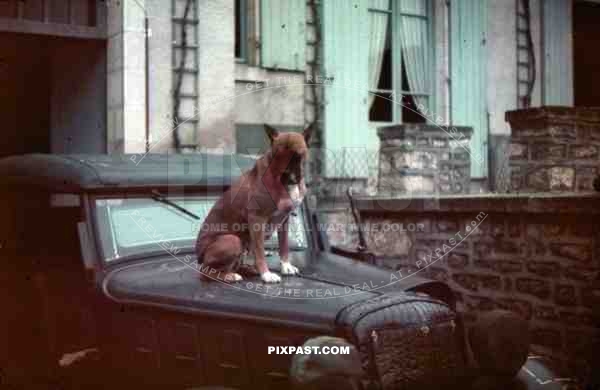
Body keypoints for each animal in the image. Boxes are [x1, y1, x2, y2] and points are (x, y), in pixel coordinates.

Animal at [196, 123, 314, 282]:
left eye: (297, 155)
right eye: (277, 155)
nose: (287, 175)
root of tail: (199, 257)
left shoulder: (284, 220)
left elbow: (283, 245)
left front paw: (286, 266)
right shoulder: (257, 219)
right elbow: (260, 251)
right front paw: (266, 274)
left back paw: (248, 269)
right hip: (232, 240)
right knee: (206, 272)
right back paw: (231, 276)